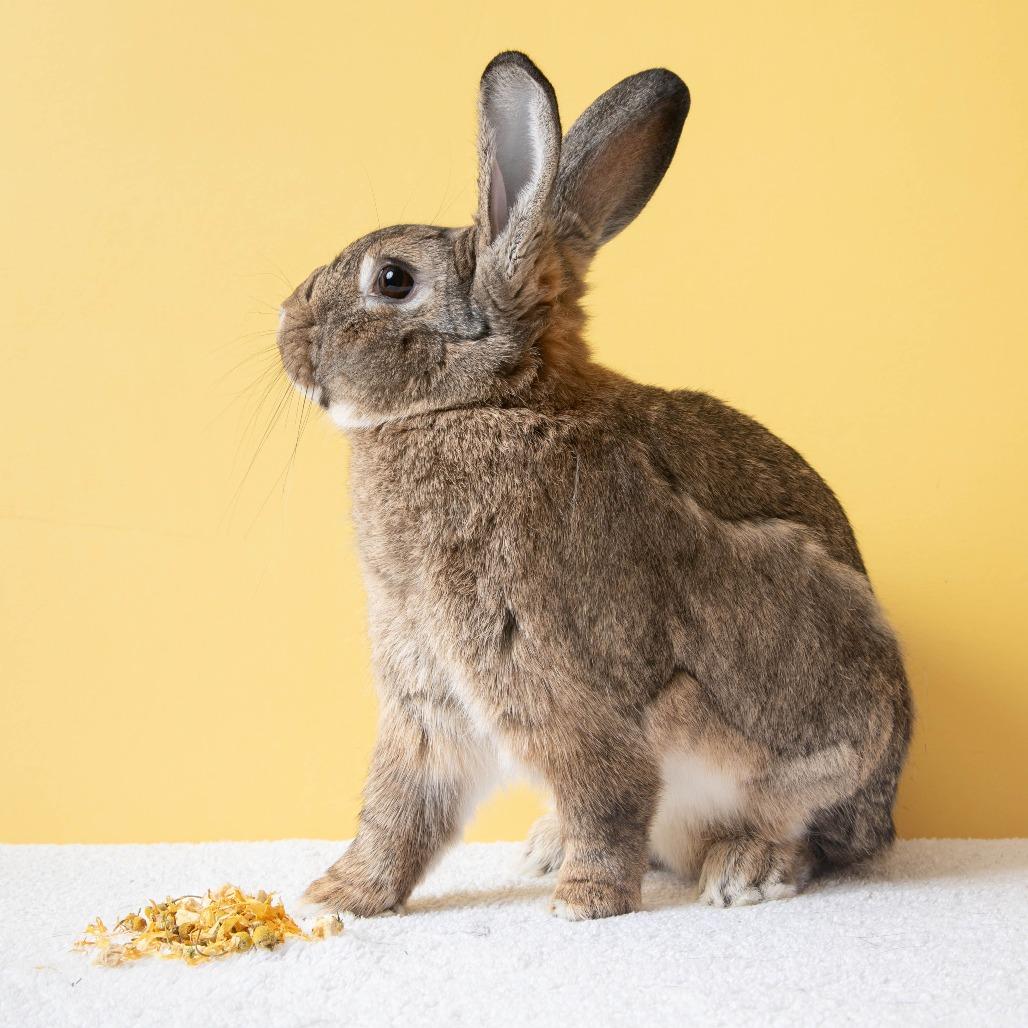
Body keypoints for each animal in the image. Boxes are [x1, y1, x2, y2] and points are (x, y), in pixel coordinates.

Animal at [277, 51, 912, 920]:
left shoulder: (558, 676)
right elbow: (400, 807)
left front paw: (586, 901)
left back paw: (742, 868)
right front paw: (340, 896)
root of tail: (884, 813)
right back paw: (547, 846)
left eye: (394, 279)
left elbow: (605, 789)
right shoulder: (427, 694)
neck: (492, 400)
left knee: (800, 831)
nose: (285, 331)